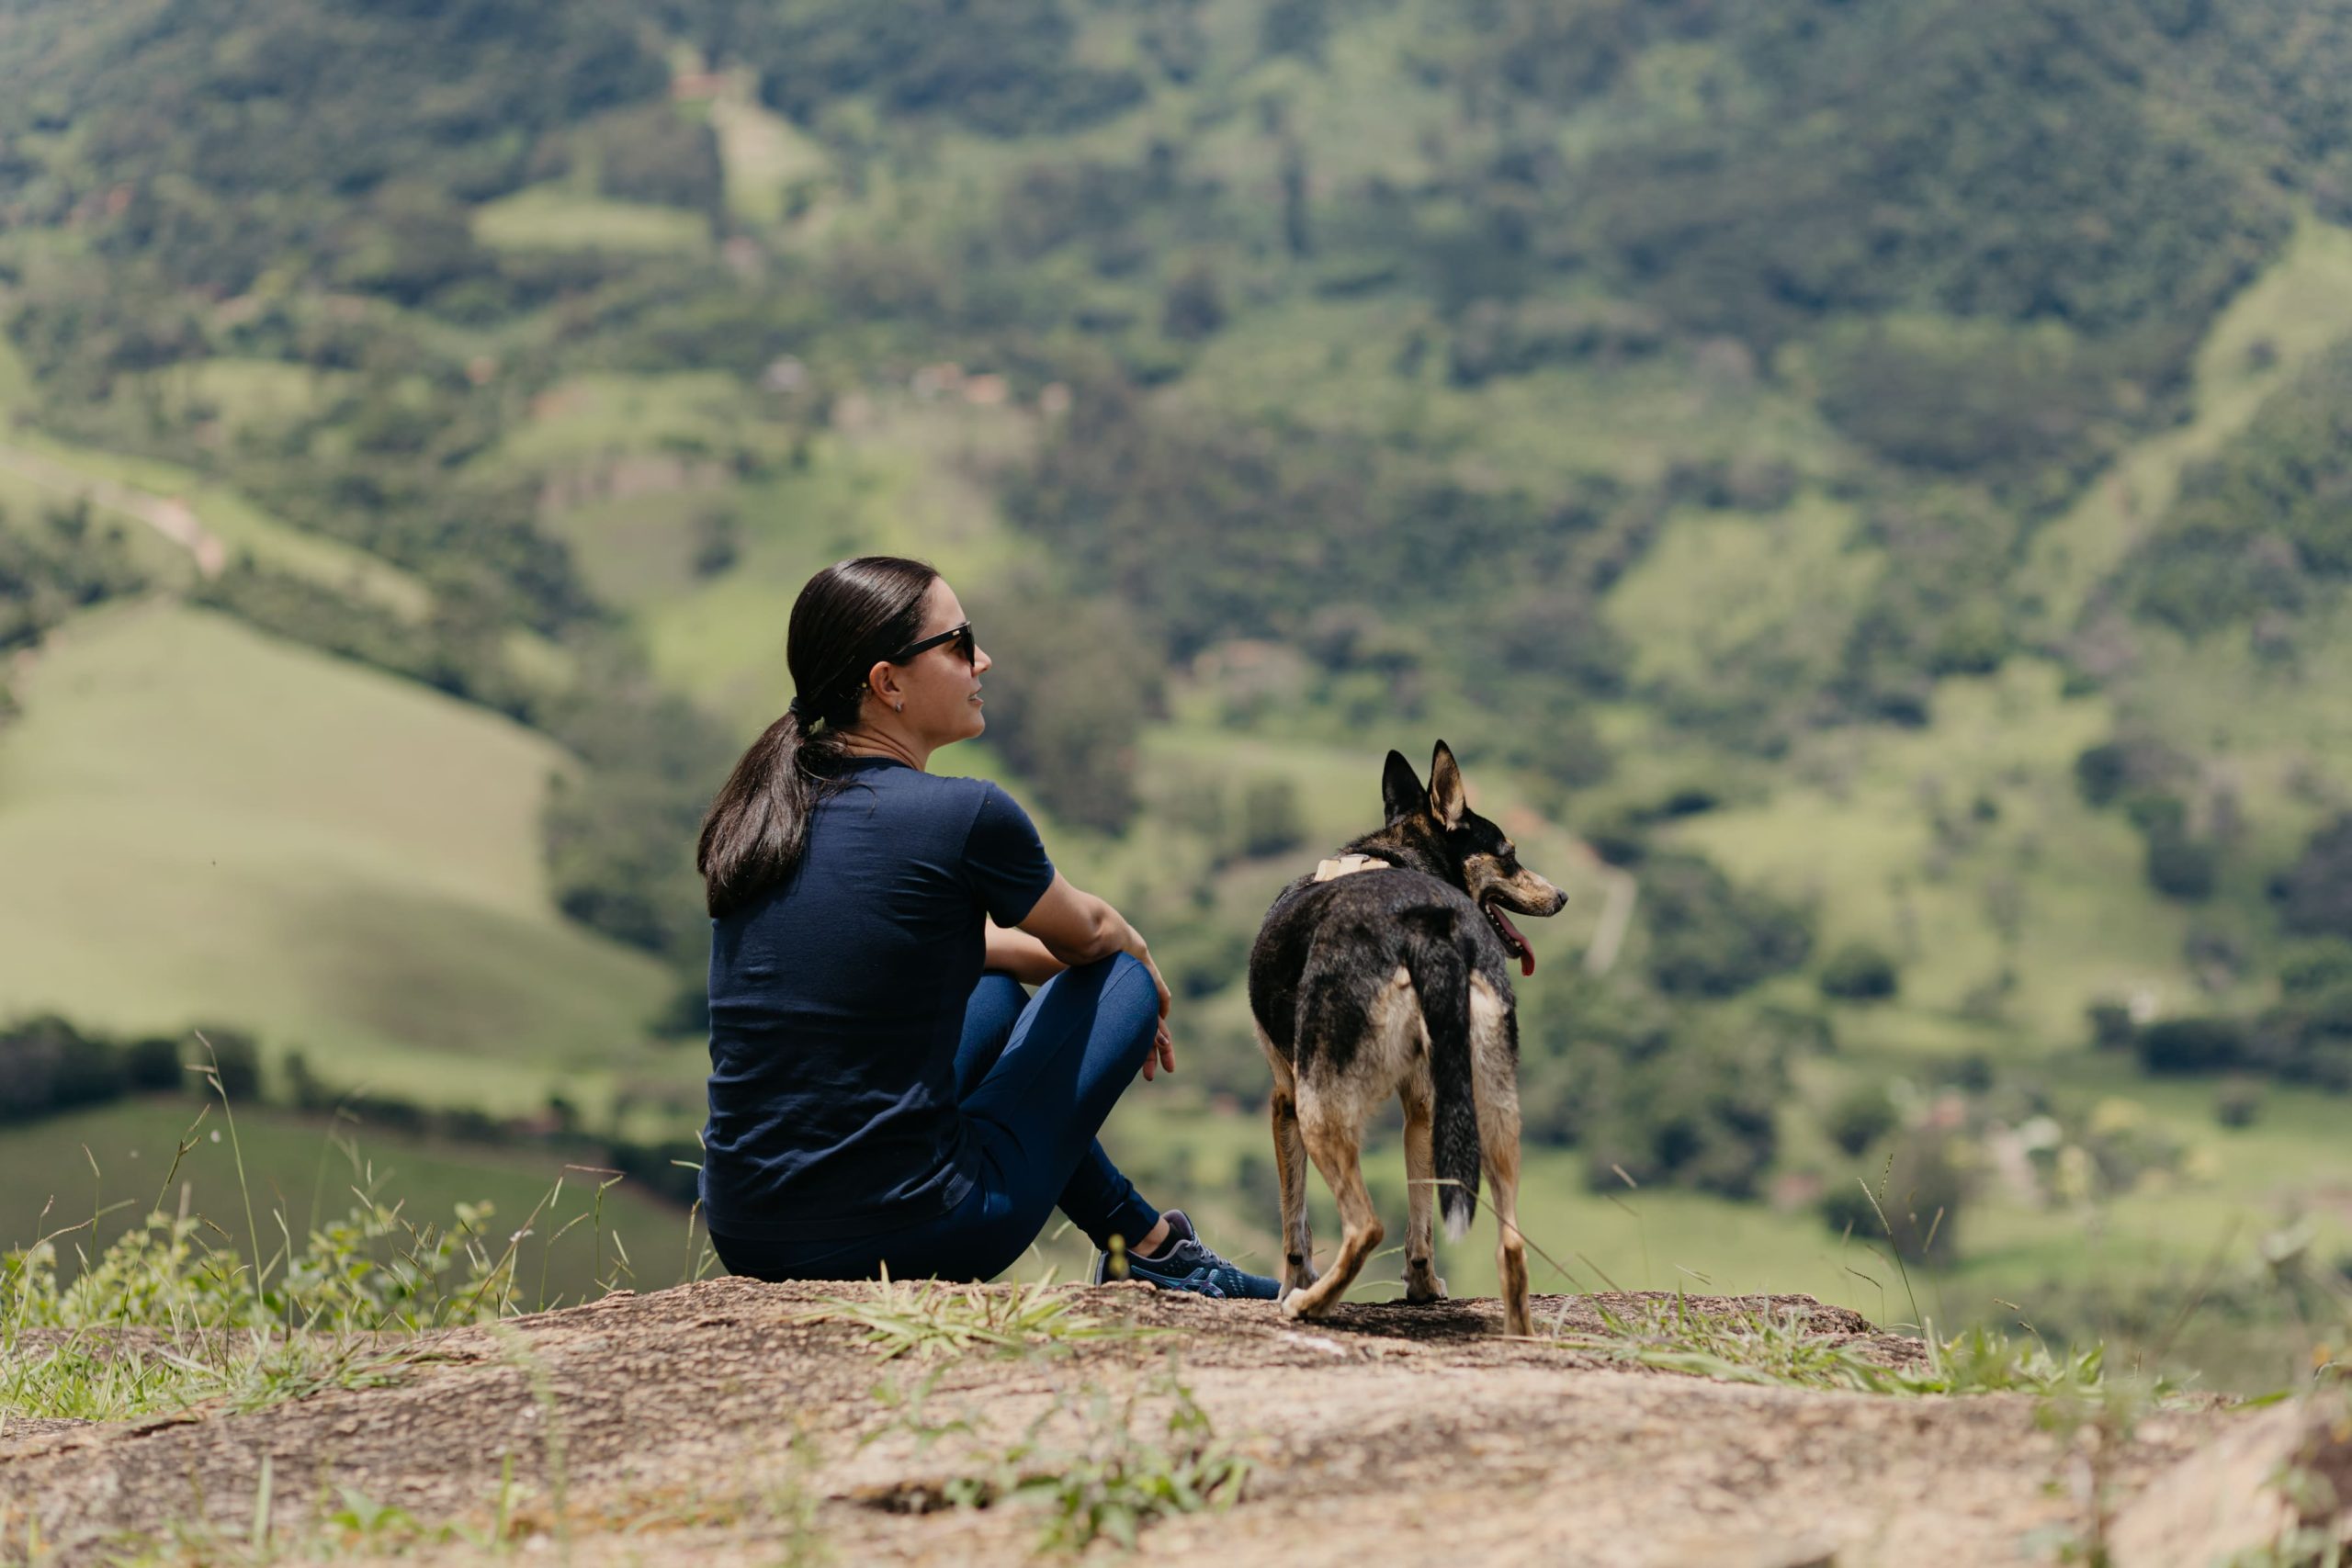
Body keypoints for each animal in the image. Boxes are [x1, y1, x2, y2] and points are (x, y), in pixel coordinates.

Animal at [1250, 742, 1561, 1335]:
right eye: (1509, 854)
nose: (1562, 895)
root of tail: (1419, 931)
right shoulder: (1422, 1104)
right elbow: (1422, 1223)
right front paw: (1423, 1288)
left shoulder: (1284, 1102)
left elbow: (1294, 1222)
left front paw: (1293, 1285)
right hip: (1492, 1105)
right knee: (1511, 1246)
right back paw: (1522, 1337)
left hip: (1321, 1103)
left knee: (1365, 1227)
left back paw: (1310, 1304)